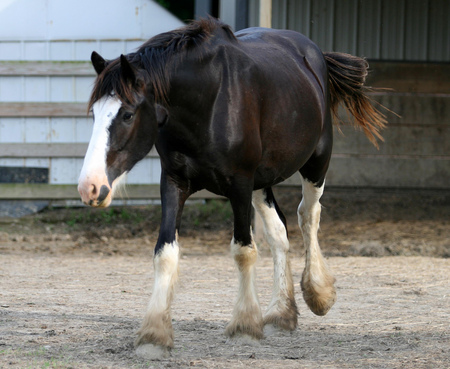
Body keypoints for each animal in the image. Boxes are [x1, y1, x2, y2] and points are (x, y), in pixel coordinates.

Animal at [78, 18, 386, 360]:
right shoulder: (174, 182)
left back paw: (318, 292)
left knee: (308, 215)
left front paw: (245, 327)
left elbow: (243, 251)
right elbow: (165, 253)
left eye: (127, 114)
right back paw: (281, 313)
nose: (90, 187)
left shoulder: (239, 183)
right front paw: (154, 335)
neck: (208, 100)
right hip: (262, 182)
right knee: (279, 232)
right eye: (94, 113)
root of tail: (312, 53)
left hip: (315, 163)